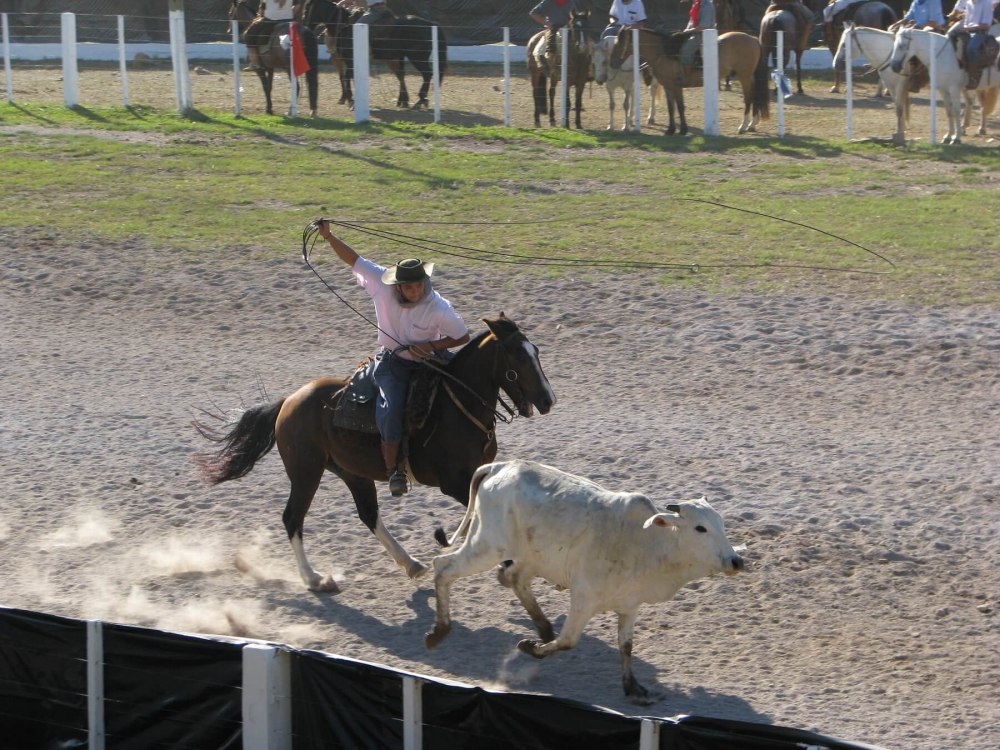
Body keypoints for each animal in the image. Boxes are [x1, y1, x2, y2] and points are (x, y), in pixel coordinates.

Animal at [193, 316, 556, 592]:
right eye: (518, 357)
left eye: (536, 351)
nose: (548, 400)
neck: (457, 406)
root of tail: (288, 402)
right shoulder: (452, 481)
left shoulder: (479, 471)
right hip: (306, 471)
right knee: (292, 517)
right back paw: (314, 579)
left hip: (352, 472)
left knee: (368, 514)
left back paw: (410, 563)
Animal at [302, 0, 448, 108]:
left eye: (306, 9)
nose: (306, 27)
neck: (344, 27)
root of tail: (431, 24)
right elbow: (347, 77)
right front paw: (350, 99)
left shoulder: (350, 59)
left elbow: (348, 77)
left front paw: (351, 100)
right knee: (409, 75)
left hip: (417, 57)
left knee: (427, 74)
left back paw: (420, 100)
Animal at [422, 458, 744, 704]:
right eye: (700, 528)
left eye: (721, 523)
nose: (736, 561)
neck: (646, 542)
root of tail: (499, 466)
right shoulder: (583, 599)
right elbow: (568, 641)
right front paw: (530, 648)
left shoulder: (630, 606)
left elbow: (626, 646)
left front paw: (632, 688)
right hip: (488, 547)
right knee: (444, 567)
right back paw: (439, 631)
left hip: (524, 556)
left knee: (513, 578)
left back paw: (543, 628)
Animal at [608, 28, 772, 137]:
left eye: (620, 44)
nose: (612, 63)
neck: (663, 52)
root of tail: (752, 38)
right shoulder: (668, 87)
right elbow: (671, 108)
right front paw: (671, 130)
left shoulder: (675, 86)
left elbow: (680, 107)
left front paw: (682, 130)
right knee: (755, 98)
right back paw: (752, 124)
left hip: (745, 76)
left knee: (749, 98)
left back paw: (743, 126)